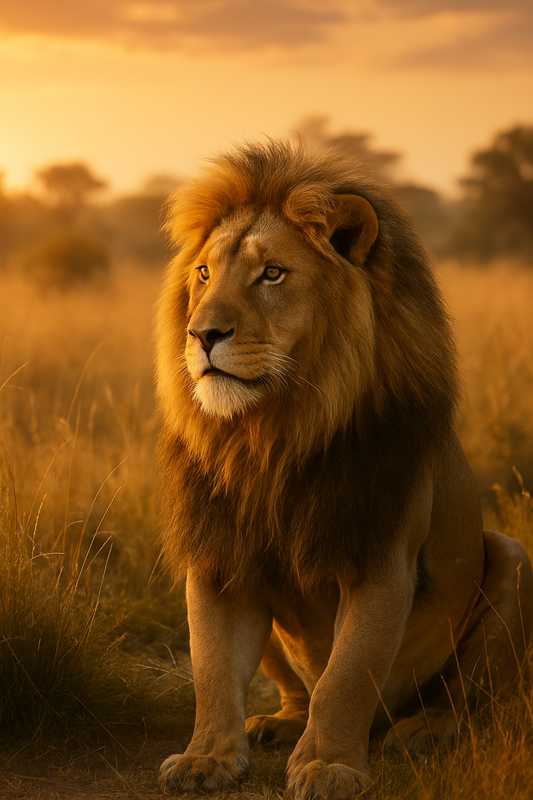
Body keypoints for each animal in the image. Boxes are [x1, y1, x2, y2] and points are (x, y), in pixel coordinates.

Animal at [155, 140, 533, 799]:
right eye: (203, 273)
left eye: (272, 274)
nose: (201, 335)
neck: (274, 433)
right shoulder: (219, 555)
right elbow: (212, 672)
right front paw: (206, 757)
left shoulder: (381, 560)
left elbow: (347, 676)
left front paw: (329, 765)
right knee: (295, 691)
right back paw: (278, 724)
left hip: (513, 557)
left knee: (464, 701)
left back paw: (423, 731)